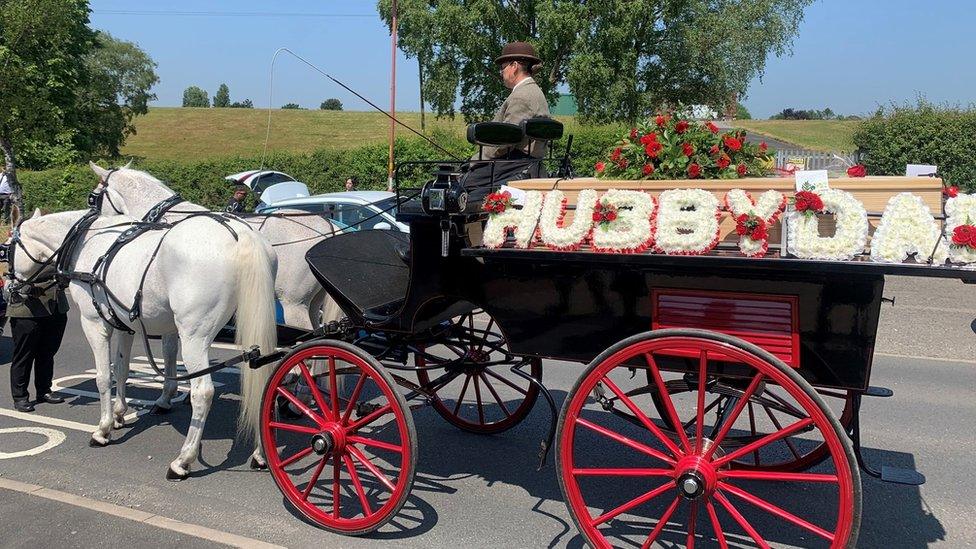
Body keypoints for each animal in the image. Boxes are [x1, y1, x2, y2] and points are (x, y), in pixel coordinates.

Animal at [13, 208, 276, 478]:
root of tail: (240, 233)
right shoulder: (125, 326)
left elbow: (103, 377)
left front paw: (103, 429)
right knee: (264, 383)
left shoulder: (94, 324)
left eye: (9, 247)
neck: (86, 241)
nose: (13, 289)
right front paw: (119, 414)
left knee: (202, 393)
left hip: (194, 338)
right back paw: (260, 454)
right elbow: (121, 369)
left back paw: (183, 460)